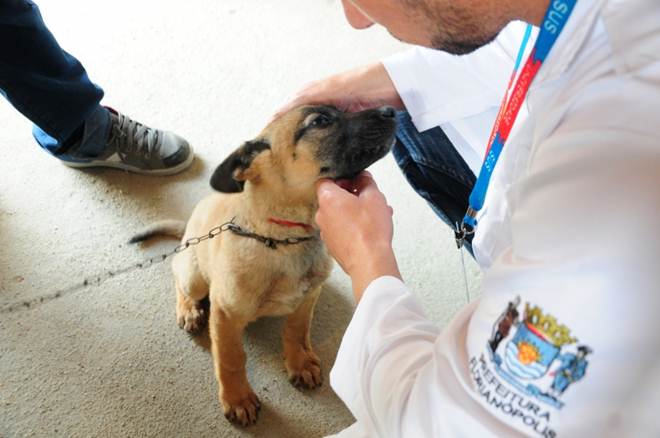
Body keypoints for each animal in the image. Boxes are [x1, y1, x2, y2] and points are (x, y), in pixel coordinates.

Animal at [131, 104, 394, 426]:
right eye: (320, 121)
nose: (391, 110)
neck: (283, 238)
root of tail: (186, 234)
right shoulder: (225, 313)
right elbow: (231, 359)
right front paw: (238, 398)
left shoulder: (308, 297)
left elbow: (296, 329)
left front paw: (298, 362)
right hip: (194, 276)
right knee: (180, 280)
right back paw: (189, 309)